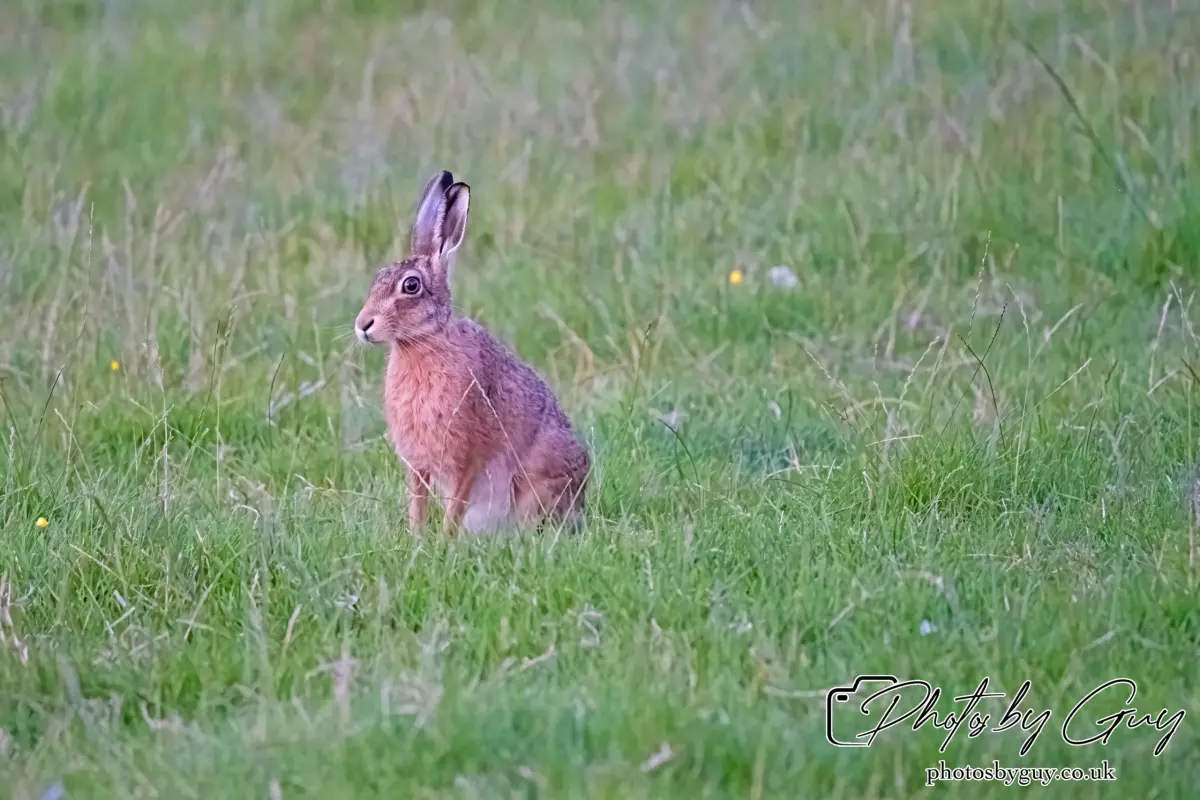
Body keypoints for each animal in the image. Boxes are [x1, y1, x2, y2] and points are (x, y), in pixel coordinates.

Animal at [353, 170, 590, 535]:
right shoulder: (418, 464)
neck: (424, 342)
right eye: (378, 278)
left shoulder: (469, 456)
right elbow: (418, 503)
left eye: (411, 286)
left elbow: (455, 505)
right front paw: (417, 538)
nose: (363, 324)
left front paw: (443, 540)